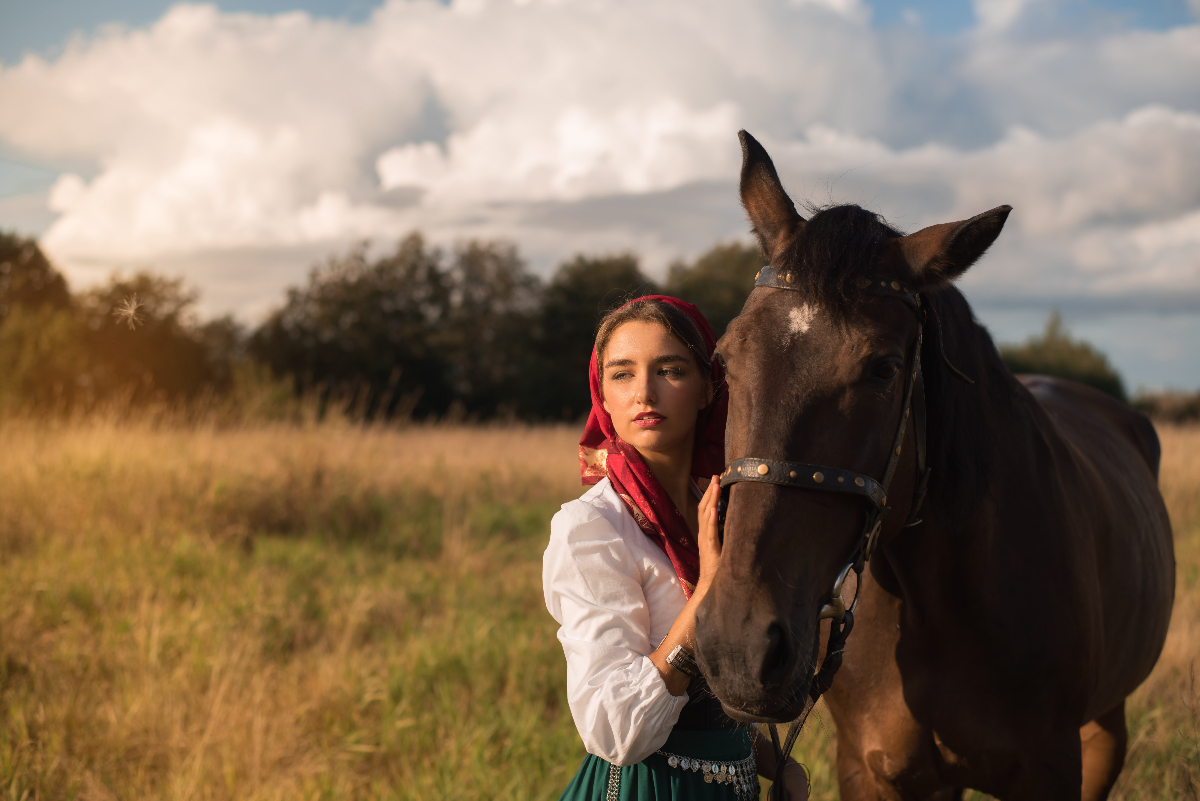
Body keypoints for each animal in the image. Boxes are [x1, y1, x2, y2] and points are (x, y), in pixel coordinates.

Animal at [696, 133, 1171, 801]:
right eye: (726, 356)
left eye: (884, 369)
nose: (737, 645)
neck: (938, 605)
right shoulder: (871, 771)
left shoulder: (1052, 767)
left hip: (1107, 727)